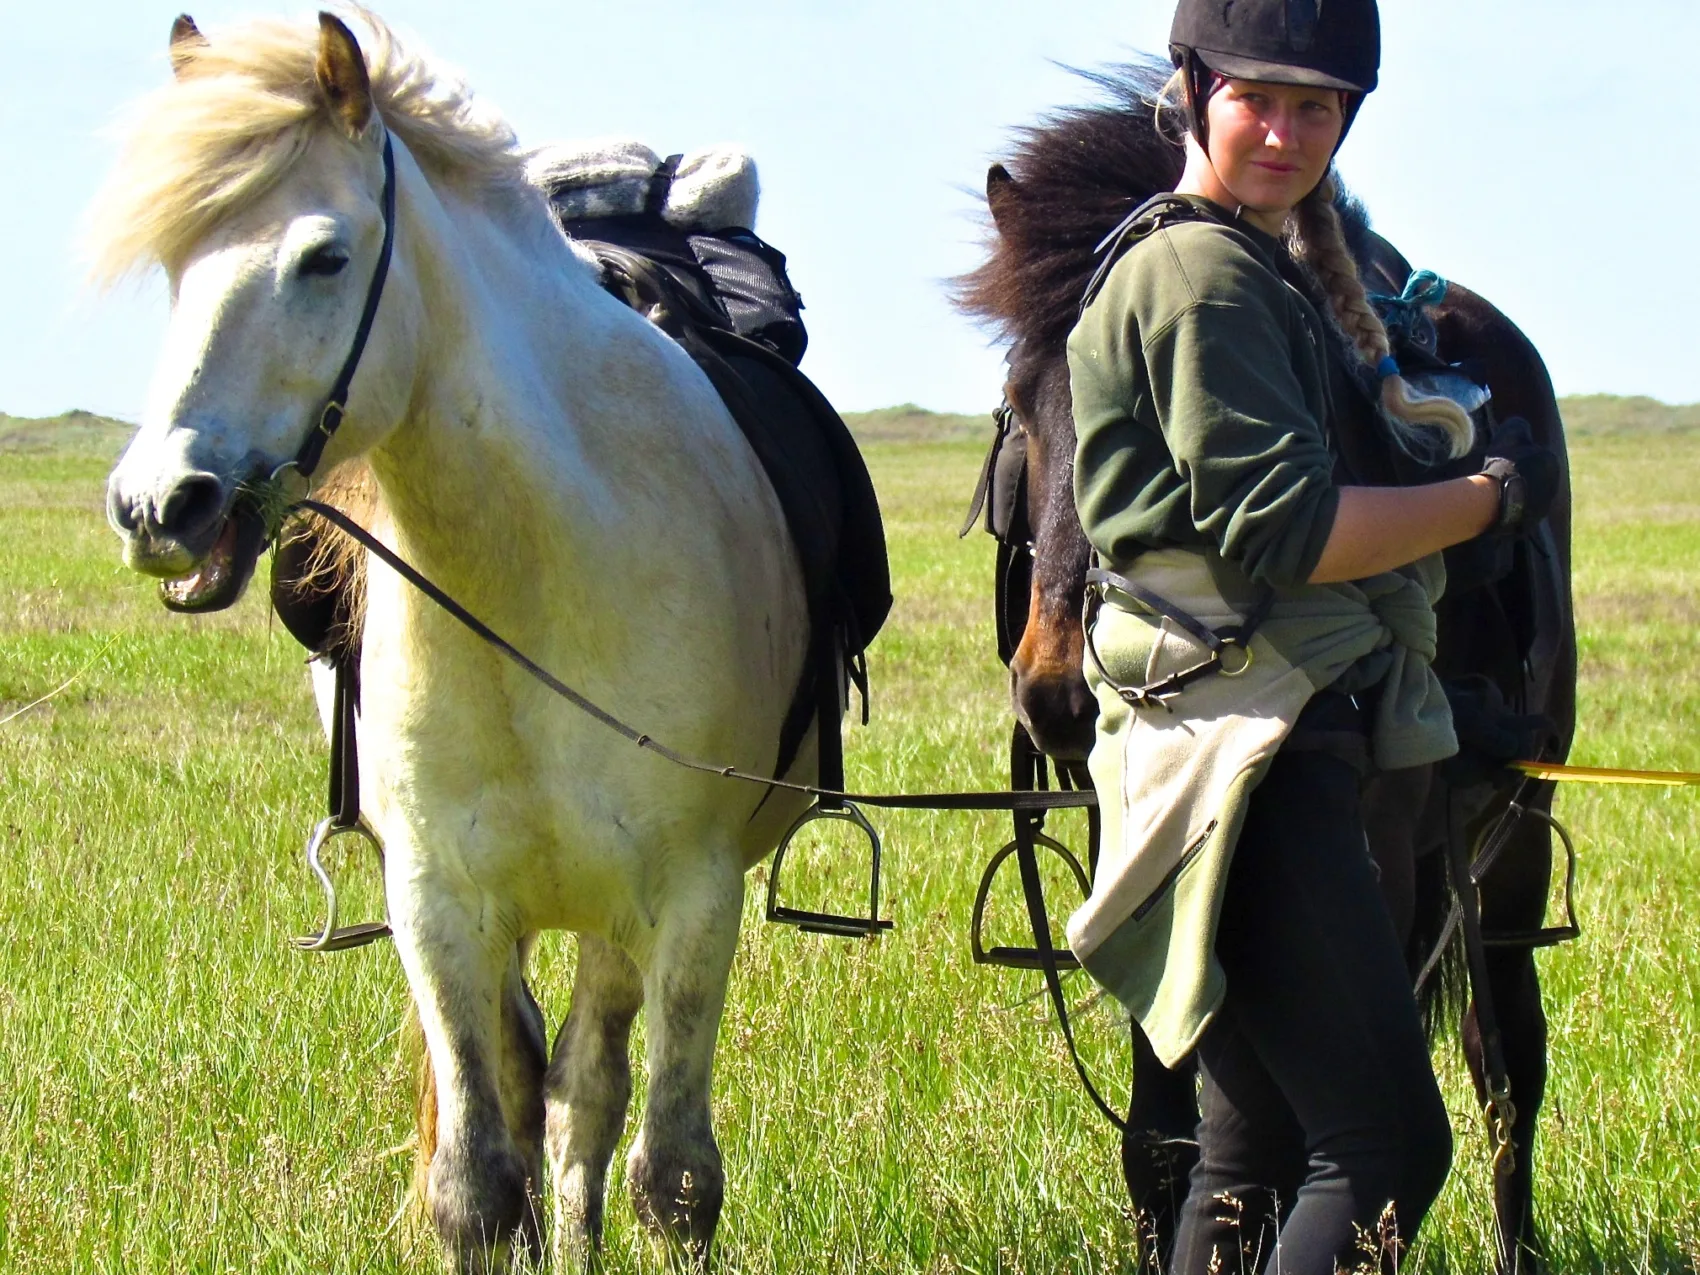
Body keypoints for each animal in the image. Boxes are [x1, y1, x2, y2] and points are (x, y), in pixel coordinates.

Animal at [99, 7, 816, 1271]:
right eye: (178, 266)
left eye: (325, 258)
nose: (158, 505)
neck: (537, 571)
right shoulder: (440, 904)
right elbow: (480, 1179)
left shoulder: (690, 901)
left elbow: (673, 1178)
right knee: (548, 1091)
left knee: (590, 1095)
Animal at [958, 62, 1577, 1275]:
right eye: (1020, 394)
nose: (1058, 691)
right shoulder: (1147, 851)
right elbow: (1167, 1125)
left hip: (1510, 838)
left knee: (1504, 1067)